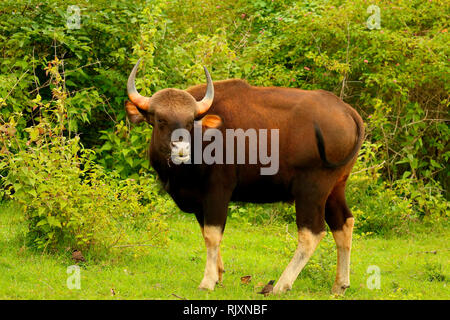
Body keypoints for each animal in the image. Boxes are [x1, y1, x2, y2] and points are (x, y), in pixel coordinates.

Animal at [125, 59, 364, 296]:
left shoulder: (218, 190)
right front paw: (218, 274)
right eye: (160, 119)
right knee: (344, 223)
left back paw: (281, 285)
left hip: (312, 189)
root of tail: (347, 112)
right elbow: (205, 232)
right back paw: (340, 285)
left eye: (191, 121)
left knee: (311, 233)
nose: (182, 148)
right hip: (335, 187)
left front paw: (208, 280)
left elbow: (212, 234)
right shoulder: (199, 200)